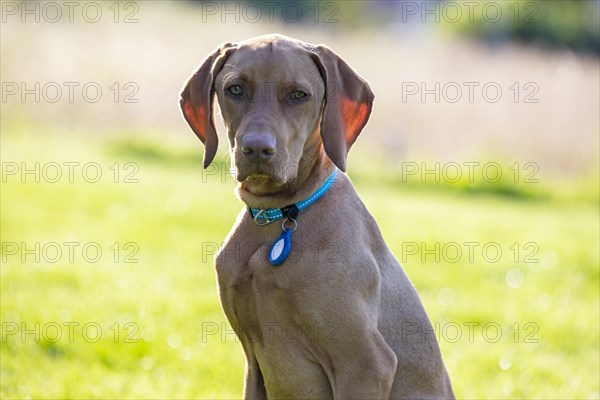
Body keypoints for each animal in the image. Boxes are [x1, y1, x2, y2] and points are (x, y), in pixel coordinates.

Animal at [180, 34, 452, 400]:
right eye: (235, 89)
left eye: (299, 95)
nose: (257, 149)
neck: (281, 216)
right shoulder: (253, 363)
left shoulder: (366, 362)